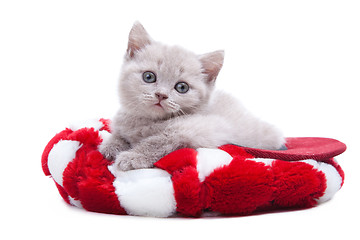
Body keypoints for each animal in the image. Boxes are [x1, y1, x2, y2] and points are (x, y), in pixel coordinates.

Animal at [100, 22, 286, 172]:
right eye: (149, 77)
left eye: (182, 87)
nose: (161, 95)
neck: (147, 122)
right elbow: (118, 134)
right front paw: (110, 146)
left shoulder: (202, 129)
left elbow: (159, 140)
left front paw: (132, 157)